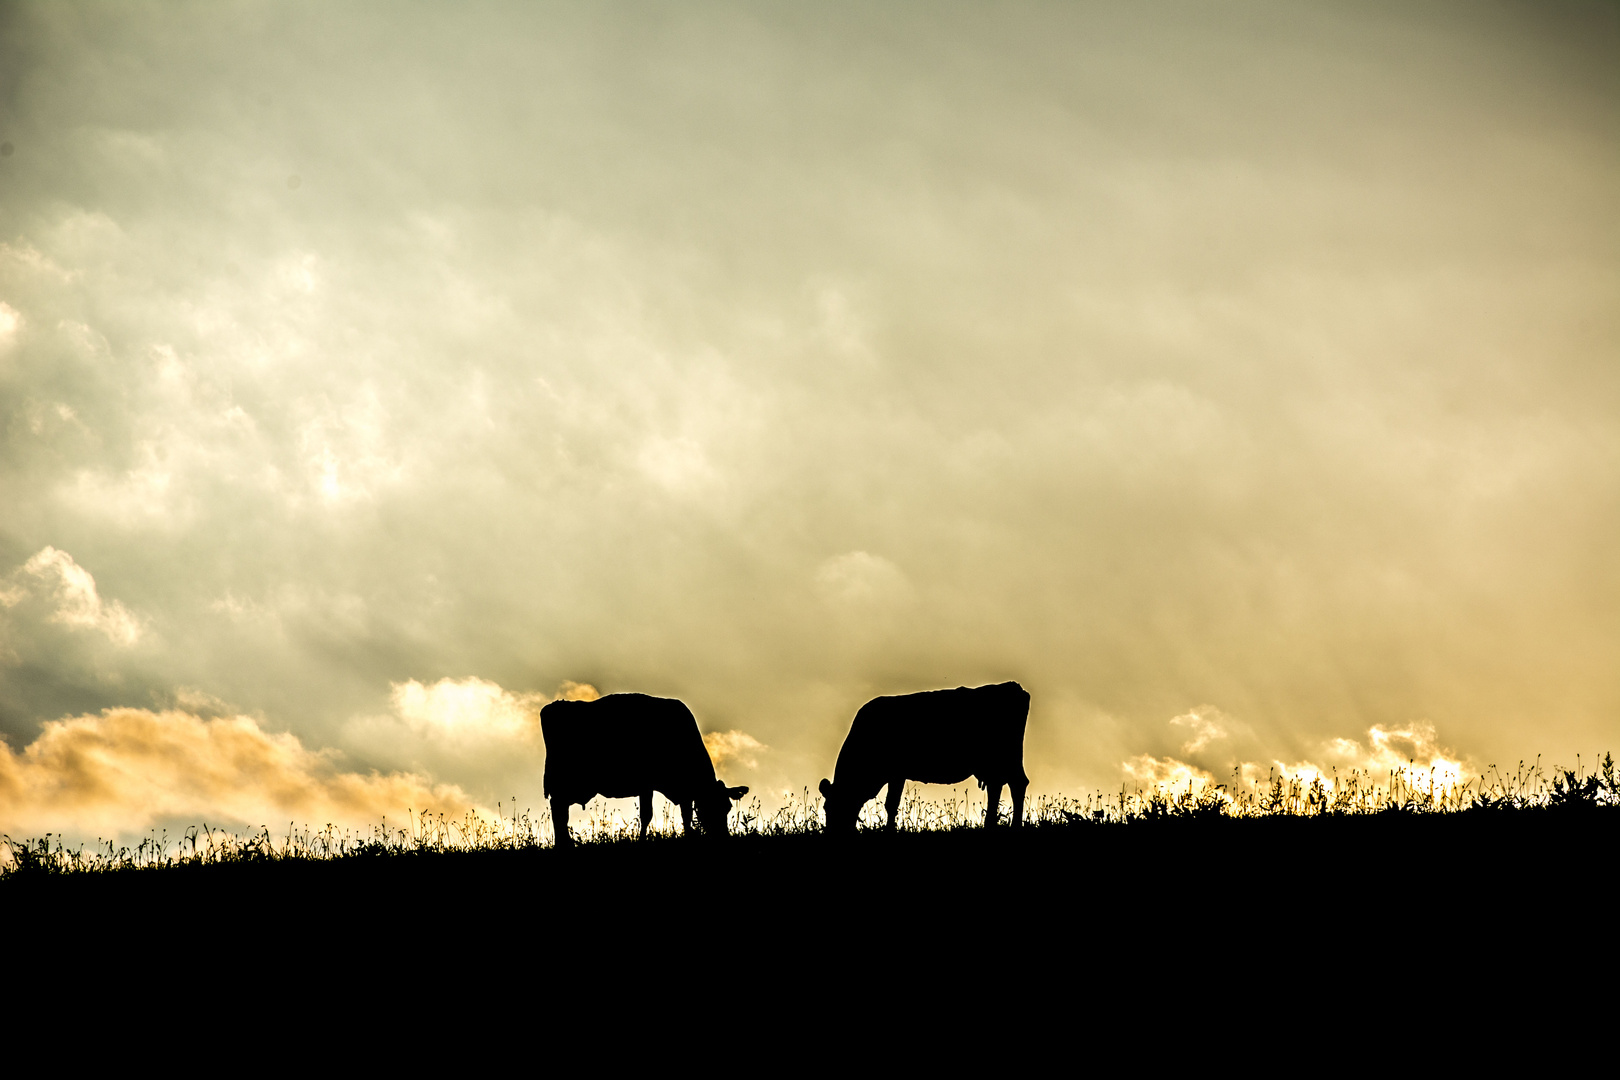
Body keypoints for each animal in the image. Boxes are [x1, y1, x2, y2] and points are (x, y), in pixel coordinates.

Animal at [541, 696, 748, 848]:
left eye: (727, 807)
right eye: (709, 807)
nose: (723, 838)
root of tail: (553, 706)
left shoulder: (683, 792)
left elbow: (685, 815)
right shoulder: (647, 785)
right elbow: (647, 815)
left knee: (560, 811)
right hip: (563, 781)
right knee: (559, 812)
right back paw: (563, 846)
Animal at [816, 683, 1030, 835]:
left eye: (832, 806)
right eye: (826, 807)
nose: (832, 833)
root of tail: (1014, 687)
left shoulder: (896, 772)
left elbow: (891, 803)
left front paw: (889, 831)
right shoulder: (897, 774)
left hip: (1004, 758)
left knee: (1015, 784)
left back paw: (1013, 827)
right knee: (1002, 786)